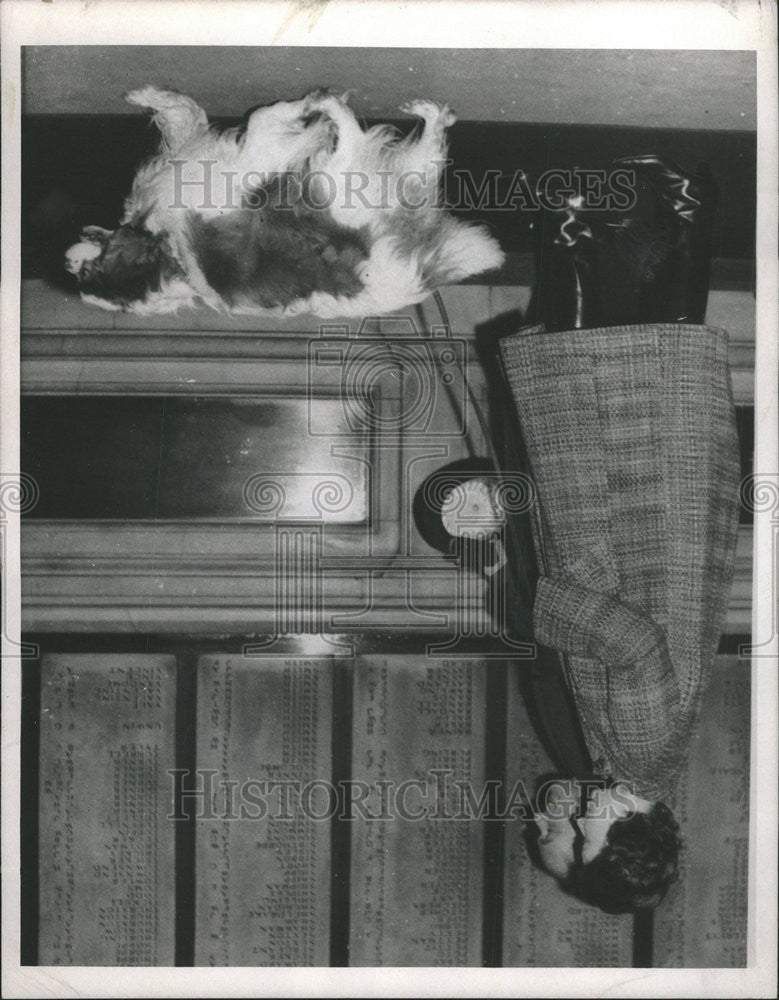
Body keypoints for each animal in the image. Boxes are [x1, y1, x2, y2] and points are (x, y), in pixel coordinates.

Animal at [65, 89, 506, 318]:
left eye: (90, 270)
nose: (66, 264)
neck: (171, 258)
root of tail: (421, 268)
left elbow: (186, 112)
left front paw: (145, 95)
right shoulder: (249, 157)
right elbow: (267, 117)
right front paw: (309, 109)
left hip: (381, 178)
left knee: (431, 146)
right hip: (344, 181)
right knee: (359, 135)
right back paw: (333, 108)